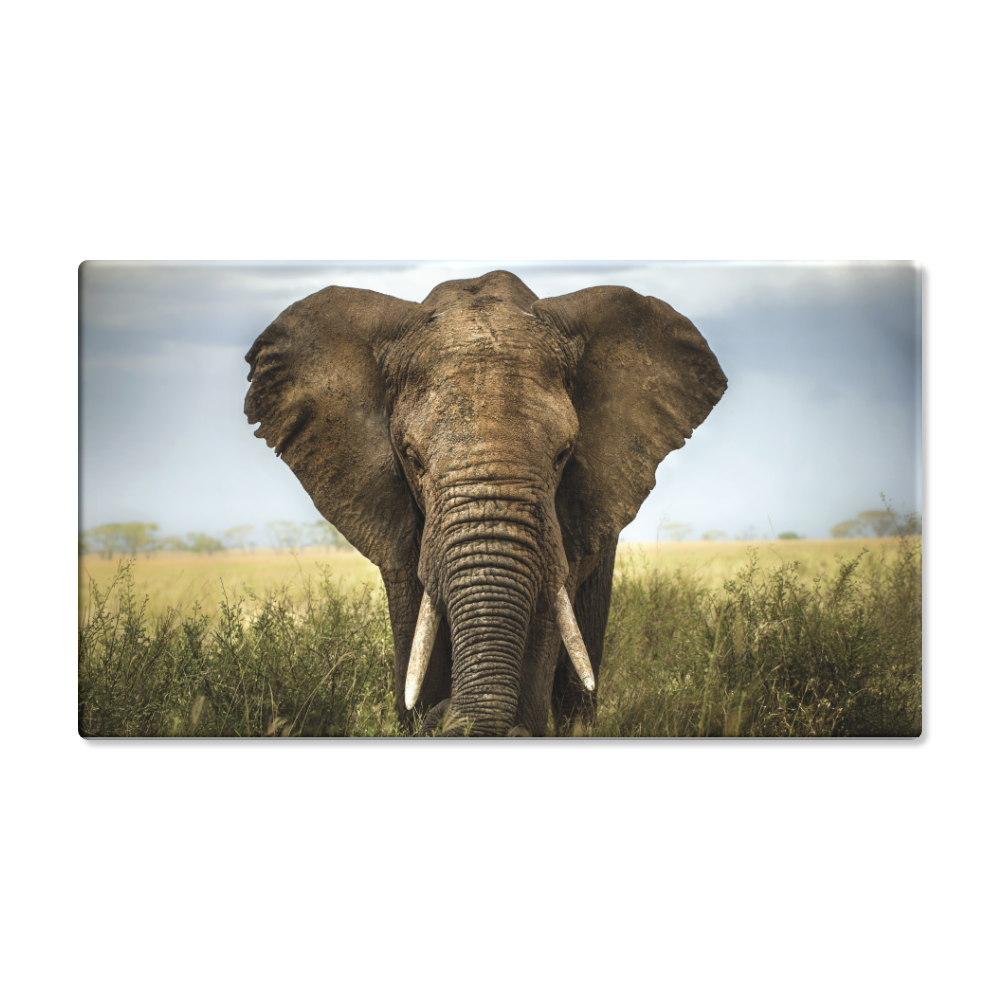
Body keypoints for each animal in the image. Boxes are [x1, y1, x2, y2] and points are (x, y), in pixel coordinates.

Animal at [244, 271, 727, 736]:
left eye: (563, 454)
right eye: (412, 457)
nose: (445, 714)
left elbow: (544, 623)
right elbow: (414, 628)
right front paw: (422, 712)